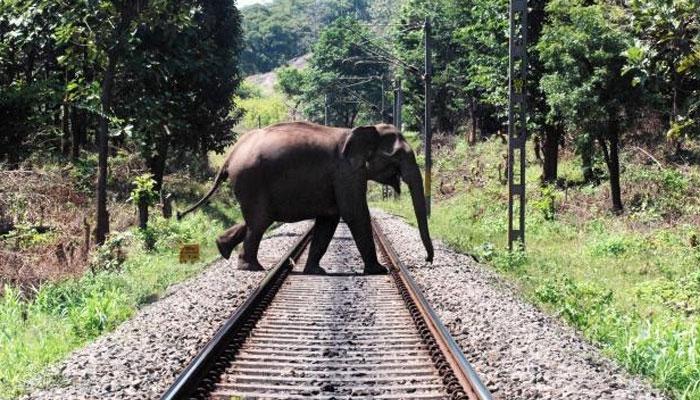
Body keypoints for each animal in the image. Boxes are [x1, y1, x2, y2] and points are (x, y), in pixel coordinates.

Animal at [176, 122, 432, 276]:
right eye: (398, 155)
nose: (427, 260)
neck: (362, 130)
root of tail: (231, 156)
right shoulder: (346, 172)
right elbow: (354, 213)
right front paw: (378, 271)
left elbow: (329, 219)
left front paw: (316, 271)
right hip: (251, 180)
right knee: (259, 223)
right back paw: (252, 267)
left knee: (255, 220)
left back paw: (222, 248)